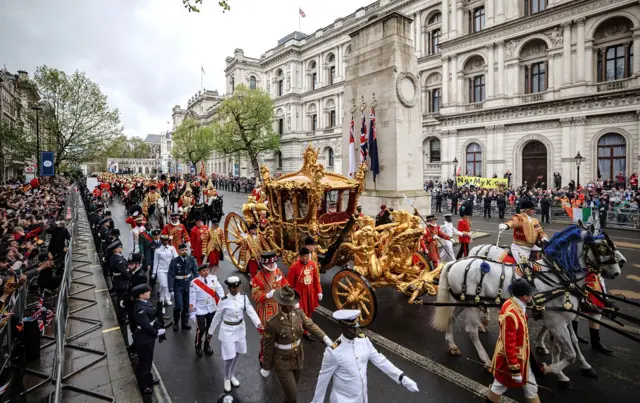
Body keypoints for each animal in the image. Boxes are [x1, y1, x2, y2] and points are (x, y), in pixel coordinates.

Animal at [430, 223, 624, 386]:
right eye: (602, 247)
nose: (618, 269)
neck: (557, 276)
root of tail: (455, 262)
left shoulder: (561, 319)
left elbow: (571, 344)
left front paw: (569, 369)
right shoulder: (556, 321)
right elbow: (570, 354)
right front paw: (548, 368)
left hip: (465, 301)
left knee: (451, 317)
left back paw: (453, 345)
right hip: (472, 304)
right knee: (471, 330)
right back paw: (486, 360)